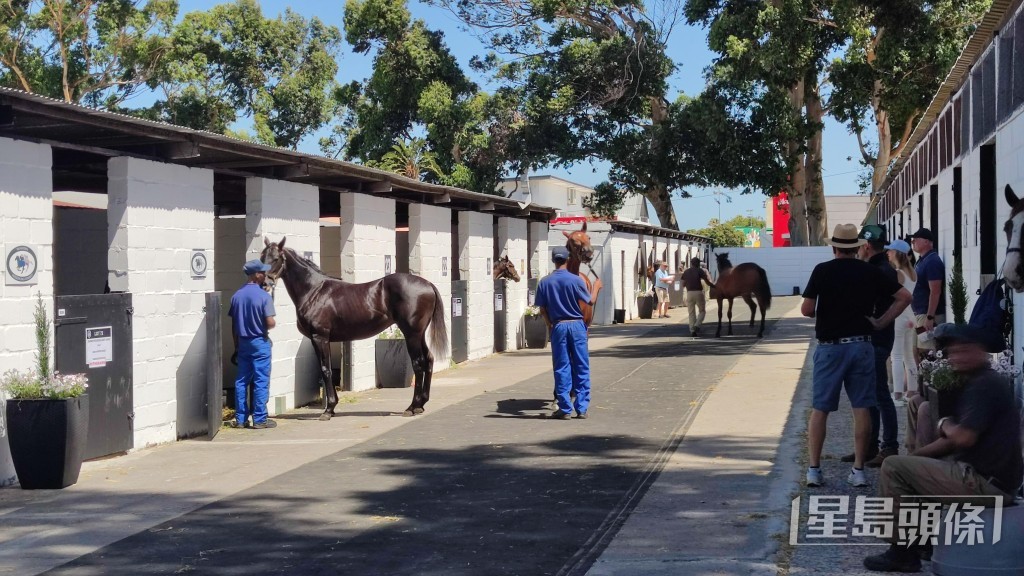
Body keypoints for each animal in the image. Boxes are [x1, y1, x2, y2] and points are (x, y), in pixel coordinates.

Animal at [256, 235, 448, 420]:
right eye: (261, 257)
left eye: (275, 259)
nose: (263, 284)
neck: (313, 290)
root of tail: (428, 285)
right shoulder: (321, 339)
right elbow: (326, 370)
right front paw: (332, 407)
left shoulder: (319, 337)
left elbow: (325, 370)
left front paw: (328, 410)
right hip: (419, 334)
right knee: (429, 359)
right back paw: (421, 405)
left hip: (411, 334)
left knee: (418, 364)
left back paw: (411, 407)